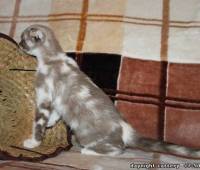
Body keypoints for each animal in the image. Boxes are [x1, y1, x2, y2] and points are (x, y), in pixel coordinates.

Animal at [19, 24, 200, 157]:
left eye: (23, 39)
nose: (19, 43)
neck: (54, 58)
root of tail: (125, 128)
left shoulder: (44, 96)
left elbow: (39, 123)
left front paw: (33, 142)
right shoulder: (56, 99)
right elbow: (56, 113)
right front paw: (51, 122)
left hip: (87, 135)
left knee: (118, 149)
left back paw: (88, 151)